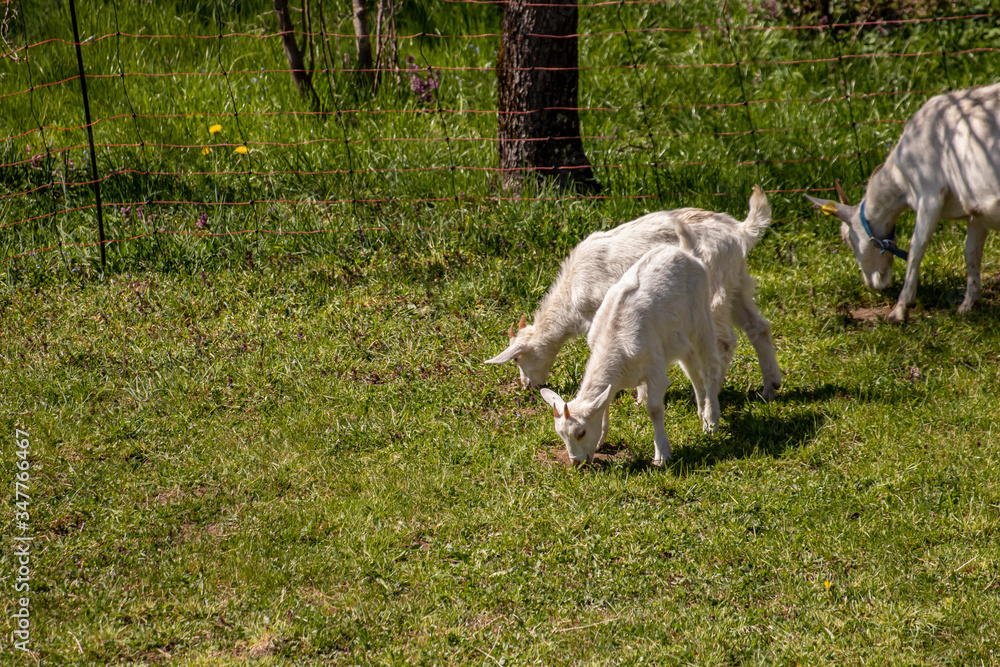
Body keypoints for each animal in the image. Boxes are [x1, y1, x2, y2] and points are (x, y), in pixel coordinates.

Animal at [487, 186, 780, 400]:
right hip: (737, 282)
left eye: (518, 358)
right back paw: (770, 388)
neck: (571, 295)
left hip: (714, 290)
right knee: (758, 327)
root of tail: (740, 231)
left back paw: (714, 390)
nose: (527, 385)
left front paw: (637, 394)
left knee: (724, 341)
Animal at [540, 220, 721, 466]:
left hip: (701, 316)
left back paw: (711, 423)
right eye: (561, 434)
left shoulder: (655, 368)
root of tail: (687, 253)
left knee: (710, 365)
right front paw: (601, 441)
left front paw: (662, 455)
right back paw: (702, 413)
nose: (577, 462)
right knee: (693, 369)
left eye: (581, 433)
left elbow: (654, 409)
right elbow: (605, 403)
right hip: (678, 338)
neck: (616, 345)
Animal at [806, 83, 1000, 323]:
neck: (900, 177)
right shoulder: (975, 206)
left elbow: (916, 249)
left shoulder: (929, 193)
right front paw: (969, 303)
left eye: (847, 239)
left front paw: (900, 308)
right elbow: (971, 253)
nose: (872, 284)